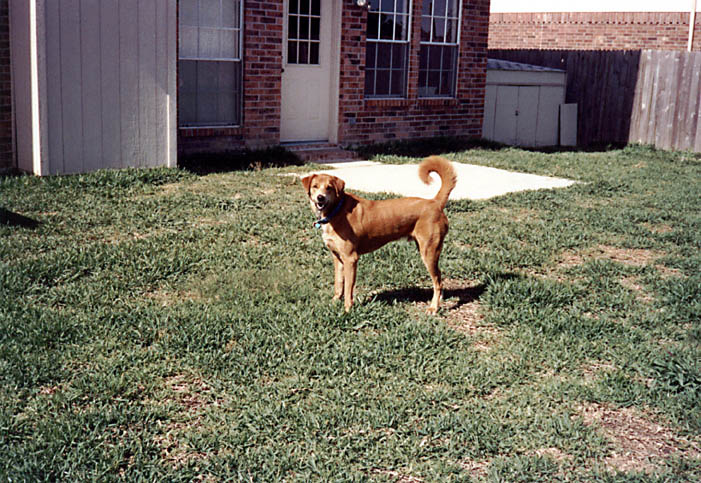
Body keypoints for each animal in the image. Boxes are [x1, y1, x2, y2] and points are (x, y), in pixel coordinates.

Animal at [300, 156, 454, 314]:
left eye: (329, 187)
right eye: (315, 186)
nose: (320, 198)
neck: (336, 211)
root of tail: (435, 202)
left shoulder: (351, 258)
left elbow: (348, 288)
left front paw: (348, 309)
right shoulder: (337, 257)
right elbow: (339, 283)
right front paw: (335, 302)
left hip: (429, 252)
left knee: (438, 281)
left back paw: (434, 307)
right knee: (439, 278)